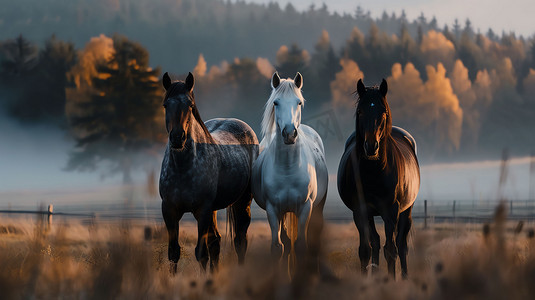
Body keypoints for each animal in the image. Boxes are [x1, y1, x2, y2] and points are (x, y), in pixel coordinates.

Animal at [159, 72, 260, 272]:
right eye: (166, 104)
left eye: (190, 105)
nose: (177, 138)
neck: (183, 168)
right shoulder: (169, 210)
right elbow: (174, 252)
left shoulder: (203, 211)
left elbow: (201, 253)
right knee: (216, 242)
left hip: (243, 201)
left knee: (240, 241)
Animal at [253, 71, 328, 274]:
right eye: (276, 102)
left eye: (299, 102)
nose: (289, 134)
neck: (288, 169)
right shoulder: (273, 209)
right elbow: (278, 247)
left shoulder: (305, 207)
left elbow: (302, 245)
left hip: (317, 207)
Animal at [338, 78, 420, 278]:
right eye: (360, 111)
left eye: (383, 112)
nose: (371, 146)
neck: (374, 171)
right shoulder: (360, 211)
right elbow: (365, 249)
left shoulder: (390, 211)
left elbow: (391, 250)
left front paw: (392, 280)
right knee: (375, 242)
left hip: (406, 210)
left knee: (401, 245)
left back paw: (404, 276)